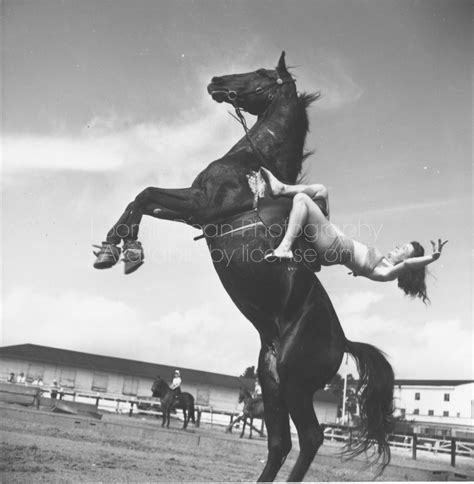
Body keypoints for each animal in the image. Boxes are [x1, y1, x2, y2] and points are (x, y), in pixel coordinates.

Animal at [94, 53, 394, 480]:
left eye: (263, 74)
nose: (216, 81)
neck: (252, 165)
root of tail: (344, 341)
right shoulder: (193, 209)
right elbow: (144, 198)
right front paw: (115, 248)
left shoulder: (202, 206)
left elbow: (146, 194)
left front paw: (124, 251)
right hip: (272, 382)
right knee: (280, 442)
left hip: (294, 385)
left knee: (310, 438)